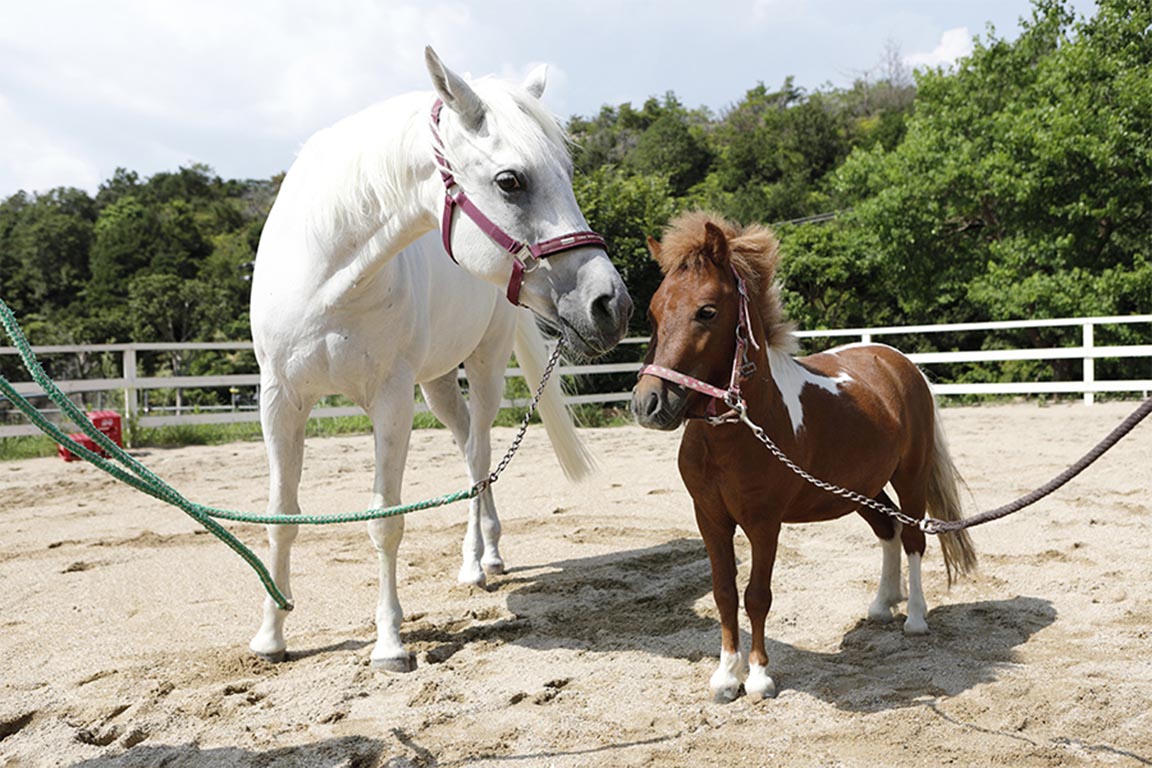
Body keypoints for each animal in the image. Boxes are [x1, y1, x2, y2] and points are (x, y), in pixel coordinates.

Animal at [246, 49, 635, 672]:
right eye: (510, 181)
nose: (612, 305)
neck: (327, 273)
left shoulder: (390, 400)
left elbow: (386, 521)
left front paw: (389, 644)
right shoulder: (280, 399)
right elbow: (281, 516)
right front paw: (271, 637)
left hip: (483, 369)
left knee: (479, 457)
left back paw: (479, 563)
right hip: (437, 386)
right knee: (469, 451)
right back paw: (488, 554)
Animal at [635, 210, 976, 704]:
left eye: (707, 311)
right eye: (653, 311)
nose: (648, 403)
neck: (740, 432)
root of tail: (896, 360)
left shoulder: (764, 522)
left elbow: (757, 595)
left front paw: (758, 677)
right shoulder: (710, 518)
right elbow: (723, 592)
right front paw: (726, 676)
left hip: (909, 477)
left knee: (913, 538)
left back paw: (914, 617)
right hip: (861, 490)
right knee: (888, 530)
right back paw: (882, 605)